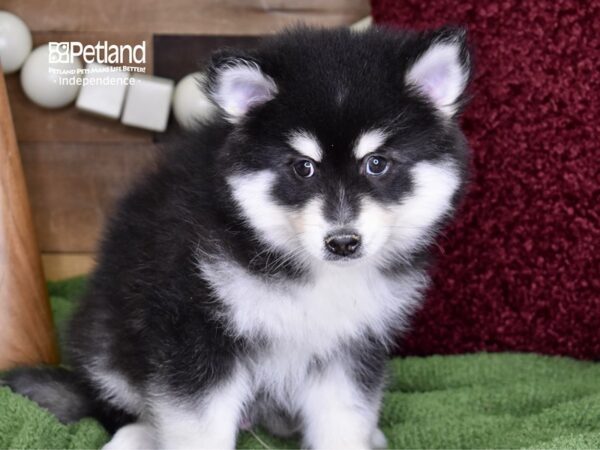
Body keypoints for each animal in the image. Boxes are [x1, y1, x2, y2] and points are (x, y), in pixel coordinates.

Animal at [5, 25, 474, 450]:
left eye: (377, 163)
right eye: (303, 167)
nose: (343, 242)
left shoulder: (351, 344)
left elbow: (344, 419)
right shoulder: (196, 333)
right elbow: (198, 427)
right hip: (105, 339)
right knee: (116, 405)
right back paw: (136, 436)